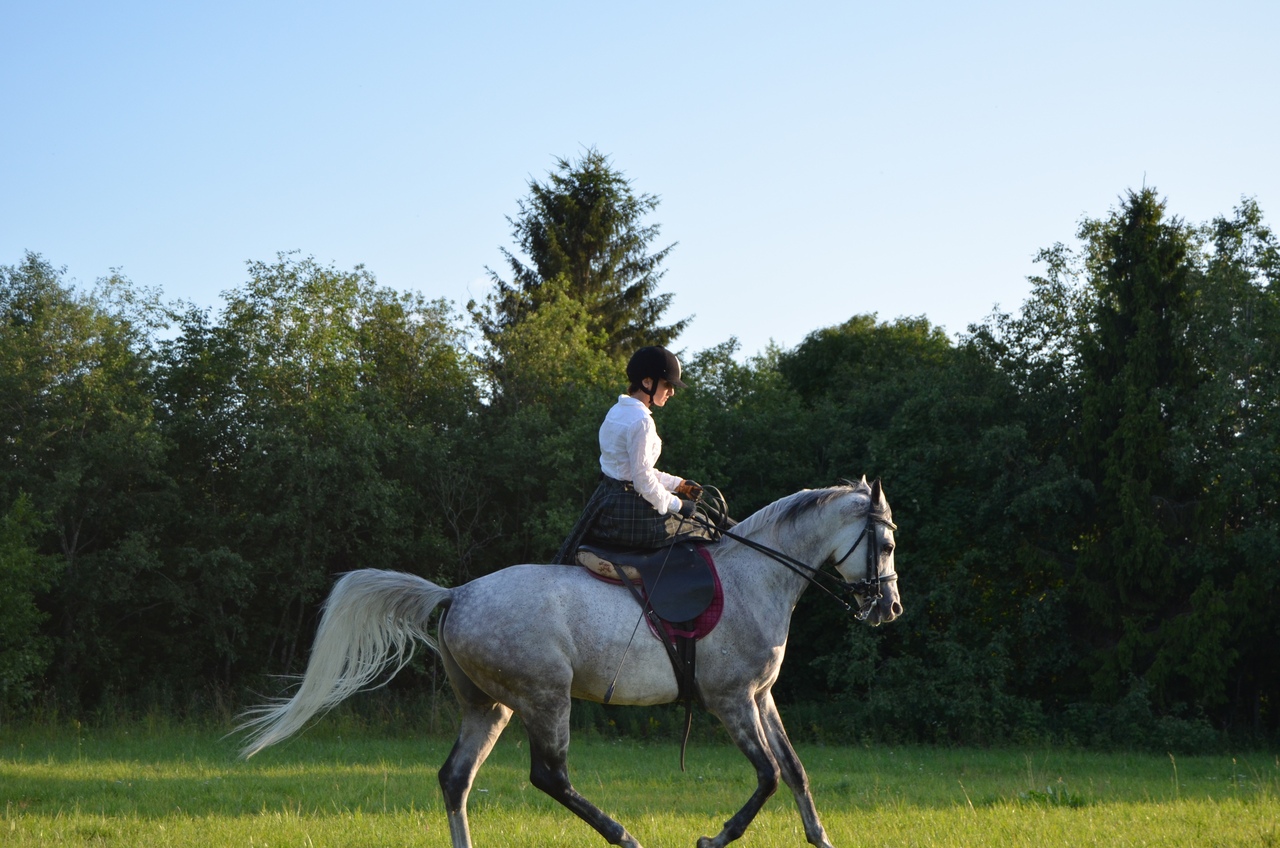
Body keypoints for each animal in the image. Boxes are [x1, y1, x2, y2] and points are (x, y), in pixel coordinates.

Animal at [240, 479, 901, 848]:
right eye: (888, 543)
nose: (887, 608)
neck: (755, 577)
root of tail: (455, 595)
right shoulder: (731, 699)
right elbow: (766, 776)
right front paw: (713, 839)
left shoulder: (761, 696)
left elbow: (794, 772)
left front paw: (822, 839)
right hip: (544, 698)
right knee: (549, 777)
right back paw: (626, 837)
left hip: (491, 706)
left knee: (456, 778)